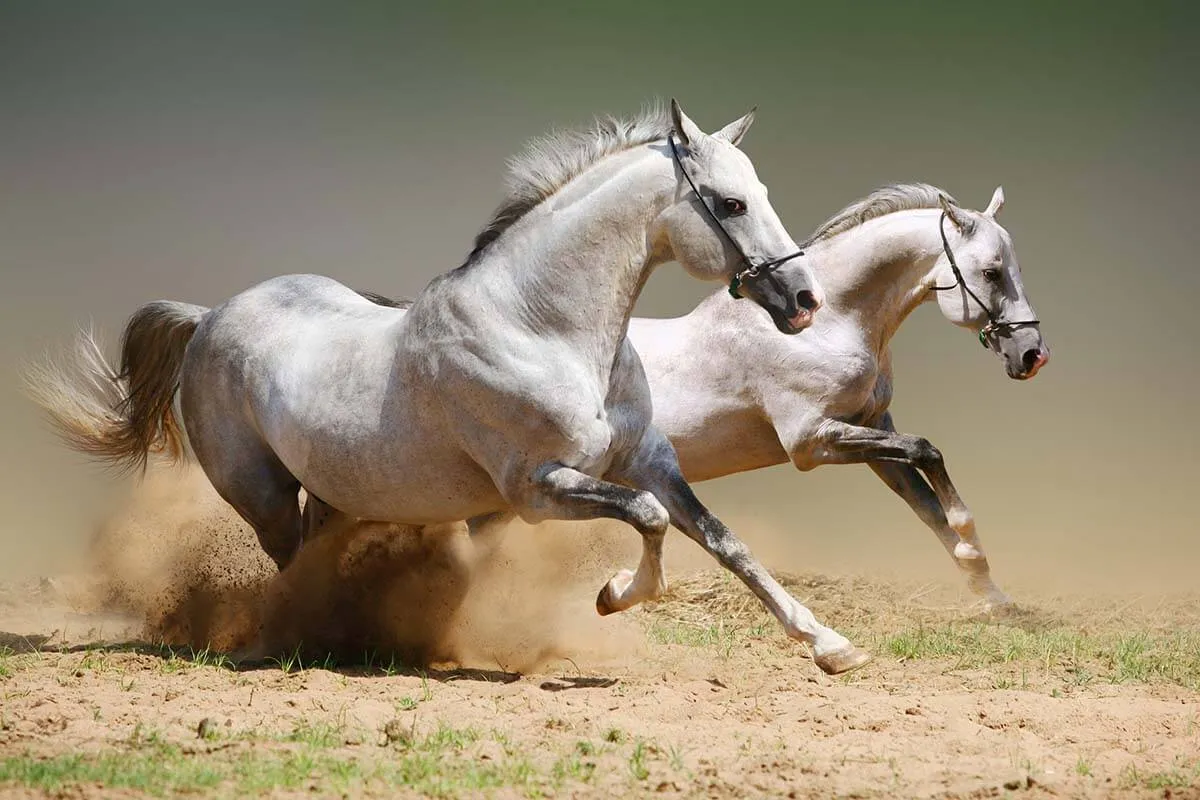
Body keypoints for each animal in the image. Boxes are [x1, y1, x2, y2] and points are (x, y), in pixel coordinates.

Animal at [28, 101, 873, 676]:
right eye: (730, 203)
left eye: (760, 190)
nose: (803, 300)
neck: (541, 328)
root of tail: (208, 317)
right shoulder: (537, 489)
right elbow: (651, 520)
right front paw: (612, 595)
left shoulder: (647, 460)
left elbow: (722, 540)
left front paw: (830, 645)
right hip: (260, 493)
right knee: (289, 563)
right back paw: (297, 638)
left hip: (334, 490)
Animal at [633, 184, 1046, 609]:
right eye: (991, 273)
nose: (1033, 355)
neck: (826, 326)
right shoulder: (811, 442)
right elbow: (926, 451)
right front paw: (970, 542)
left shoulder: (872, 429)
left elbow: (928, 506)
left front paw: (992, 595)